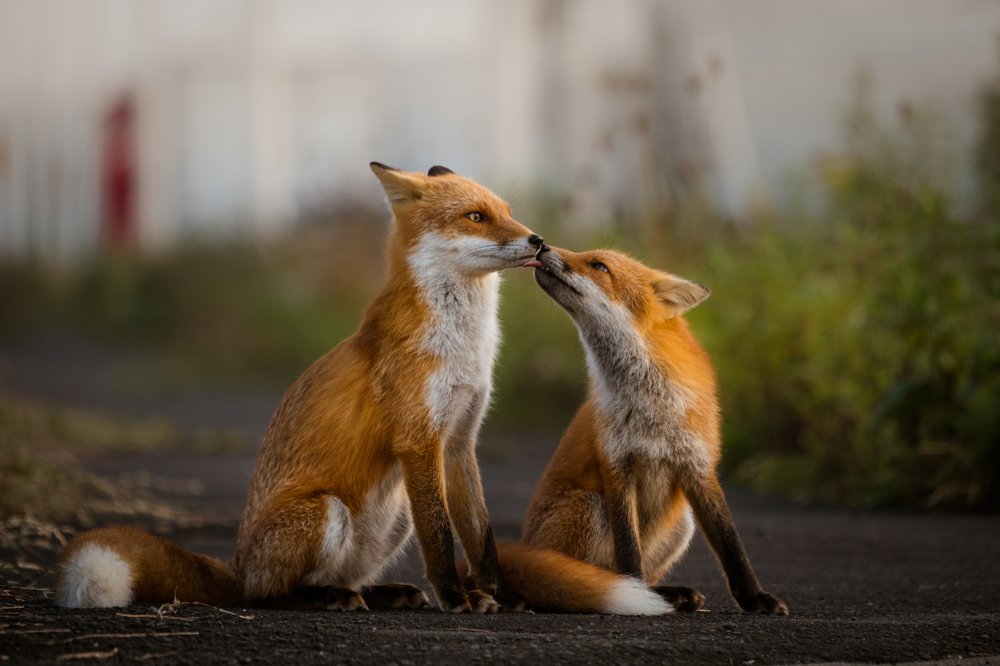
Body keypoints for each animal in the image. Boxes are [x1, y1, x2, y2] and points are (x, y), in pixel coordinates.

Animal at [58, 163, 545, 613]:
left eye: (507, 213)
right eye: (475, 216)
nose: (538, 240)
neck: (464, 347)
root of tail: (238, 568)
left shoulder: (459, 439)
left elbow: (480, 534)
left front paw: (501, 593)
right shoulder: (419, 441)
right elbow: (441, 538)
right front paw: (457, 598)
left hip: (396, 512)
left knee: (346, 577)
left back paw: (378, 592)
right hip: (328, 511)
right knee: (271, 594)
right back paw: (322, 597)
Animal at [520, 245, 789, 615]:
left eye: (599, 266)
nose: (543, 244)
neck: (652, 407)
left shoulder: (699, 466)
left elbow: (731, 544)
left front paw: (756, 598)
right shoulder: (616, 466)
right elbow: (628, 548)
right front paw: (638, 598)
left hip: (682, 523)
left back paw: (669, 593)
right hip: (590, 505)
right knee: (595, 577)